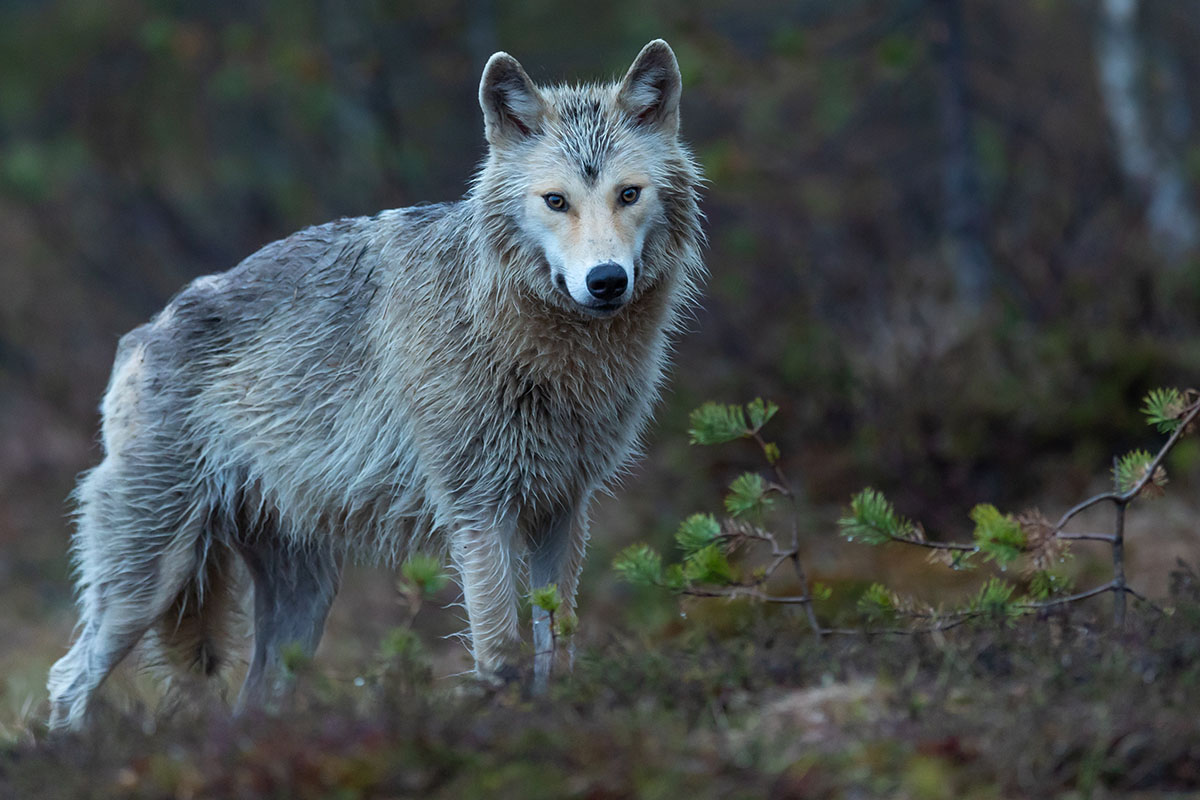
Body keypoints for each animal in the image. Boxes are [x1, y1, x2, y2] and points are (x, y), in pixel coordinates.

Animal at [47, 39, 704, 730]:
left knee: (252, 698)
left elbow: (561, 643)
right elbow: (500, 650)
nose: (606, 281)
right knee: (67, 679)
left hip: (303, 602)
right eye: (556, 201)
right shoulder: (479, 511)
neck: (538, 348)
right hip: (148, 580)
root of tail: (141, 334)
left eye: (628, 194)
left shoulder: (563, 509)